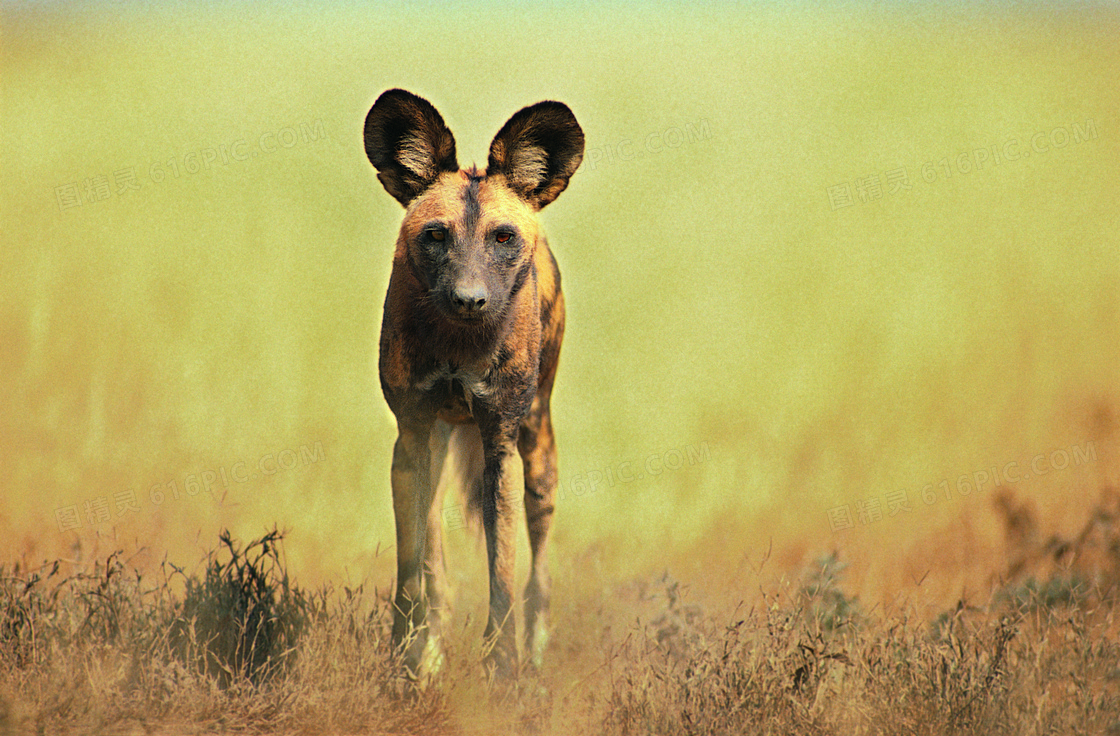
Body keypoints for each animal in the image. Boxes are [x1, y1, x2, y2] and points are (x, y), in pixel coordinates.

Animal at [362, 87, 586, 676]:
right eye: (437, 236)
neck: (458, 343)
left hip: (537, 453)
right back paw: (433, 651)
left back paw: (535, 660)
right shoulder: (412, 438)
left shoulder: (499, 445)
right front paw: (407, 661)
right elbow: (412, 572)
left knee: (538, 573)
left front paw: (503, 668)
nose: (469, 299)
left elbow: (503, 577)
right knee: (434, 561)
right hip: (435, 448)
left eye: (503, 237)